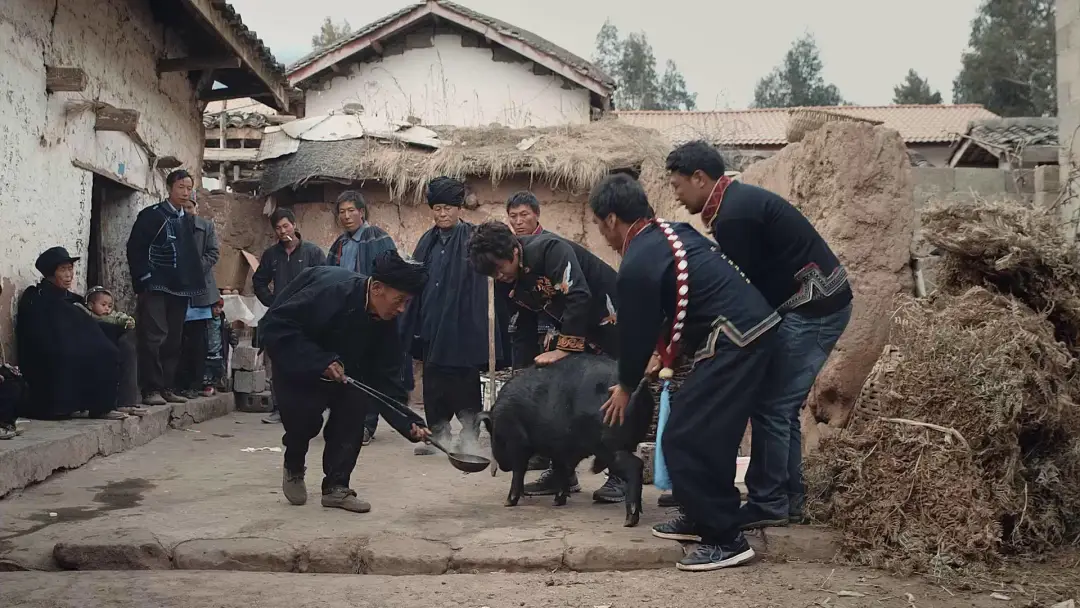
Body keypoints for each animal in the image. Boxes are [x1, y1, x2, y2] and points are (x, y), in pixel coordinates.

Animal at [479, 352, 648, 529]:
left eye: (494, 436)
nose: (502, 466)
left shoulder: (518, 444)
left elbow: (519, 471)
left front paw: (508, 503)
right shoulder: (561, 449)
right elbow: (562, 470)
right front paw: (558, 501)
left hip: (609, 445)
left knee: (636, 465)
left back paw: (629, 520)